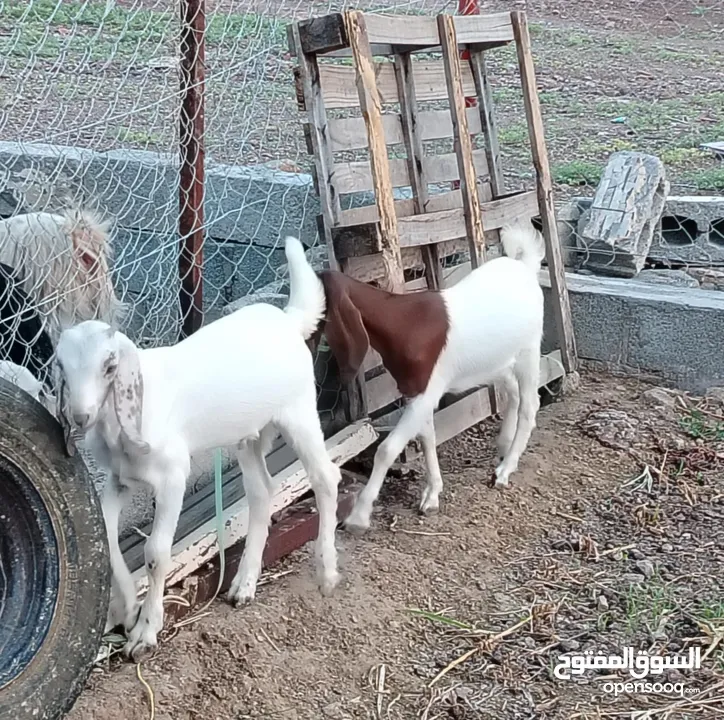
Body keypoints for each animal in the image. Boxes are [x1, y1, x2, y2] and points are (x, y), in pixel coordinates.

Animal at [320, 222, 544, 532]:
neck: (405, 323)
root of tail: (525, 266)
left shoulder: (425, 392)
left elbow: (387, 449)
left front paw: (358, 517)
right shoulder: (415, 391)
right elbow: (427, 436)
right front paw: (432, 495)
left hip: (528, 350)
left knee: (529, 404)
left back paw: (505, 469)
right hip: (495, 360)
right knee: (510, 390)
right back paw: (503, 444)